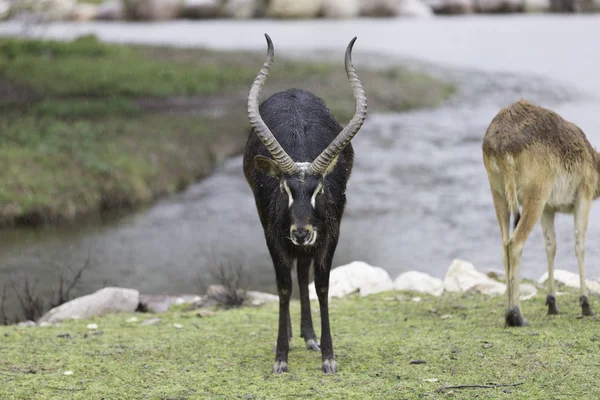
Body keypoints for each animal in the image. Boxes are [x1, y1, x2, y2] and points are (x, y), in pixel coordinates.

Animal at [243, 33, 366, 372]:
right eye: (285, 188)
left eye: (318, 189)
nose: (300, 232)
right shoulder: (274, 234)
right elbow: (283, 285)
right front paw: (280, 357)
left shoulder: (331, 234)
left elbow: (322, 285)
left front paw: (328, 357)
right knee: (289, 275)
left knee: (302, 271)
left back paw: (309, 336)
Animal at [482, 98, 596, 326]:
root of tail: (501, 146)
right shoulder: (583, 196)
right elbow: (579, 244)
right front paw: (586, 304)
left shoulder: (548, 208)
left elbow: (550, 246)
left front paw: (552, 303)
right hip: (534, 198)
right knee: (516, 244)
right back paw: (516, 315)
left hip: (499, 196)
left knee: (505, 245)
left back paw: (508, 313)